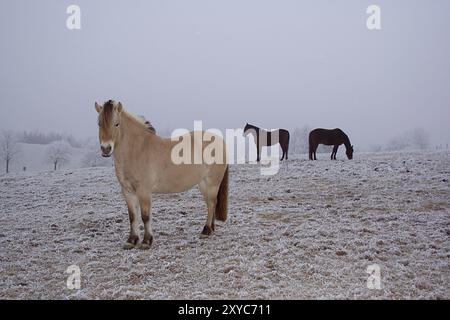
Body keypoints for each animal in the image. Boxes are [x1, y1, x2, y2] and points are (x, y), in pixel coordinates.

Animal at [95, 100, 229, 250]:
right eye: (99, 123)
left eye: (116, 124)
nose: (106, 149)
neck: (137, 151)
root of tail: (220, 140)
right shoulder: (127, 192)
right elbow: (132, 216)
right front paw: (131, 240)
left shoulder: (144, 192)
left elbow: (145, 216)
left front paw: (146, 241)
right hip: (203, 183)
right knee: (210, 204)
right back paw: (211, 229)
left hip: (212, 183)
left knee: (211, 204)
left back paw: (206, 231)